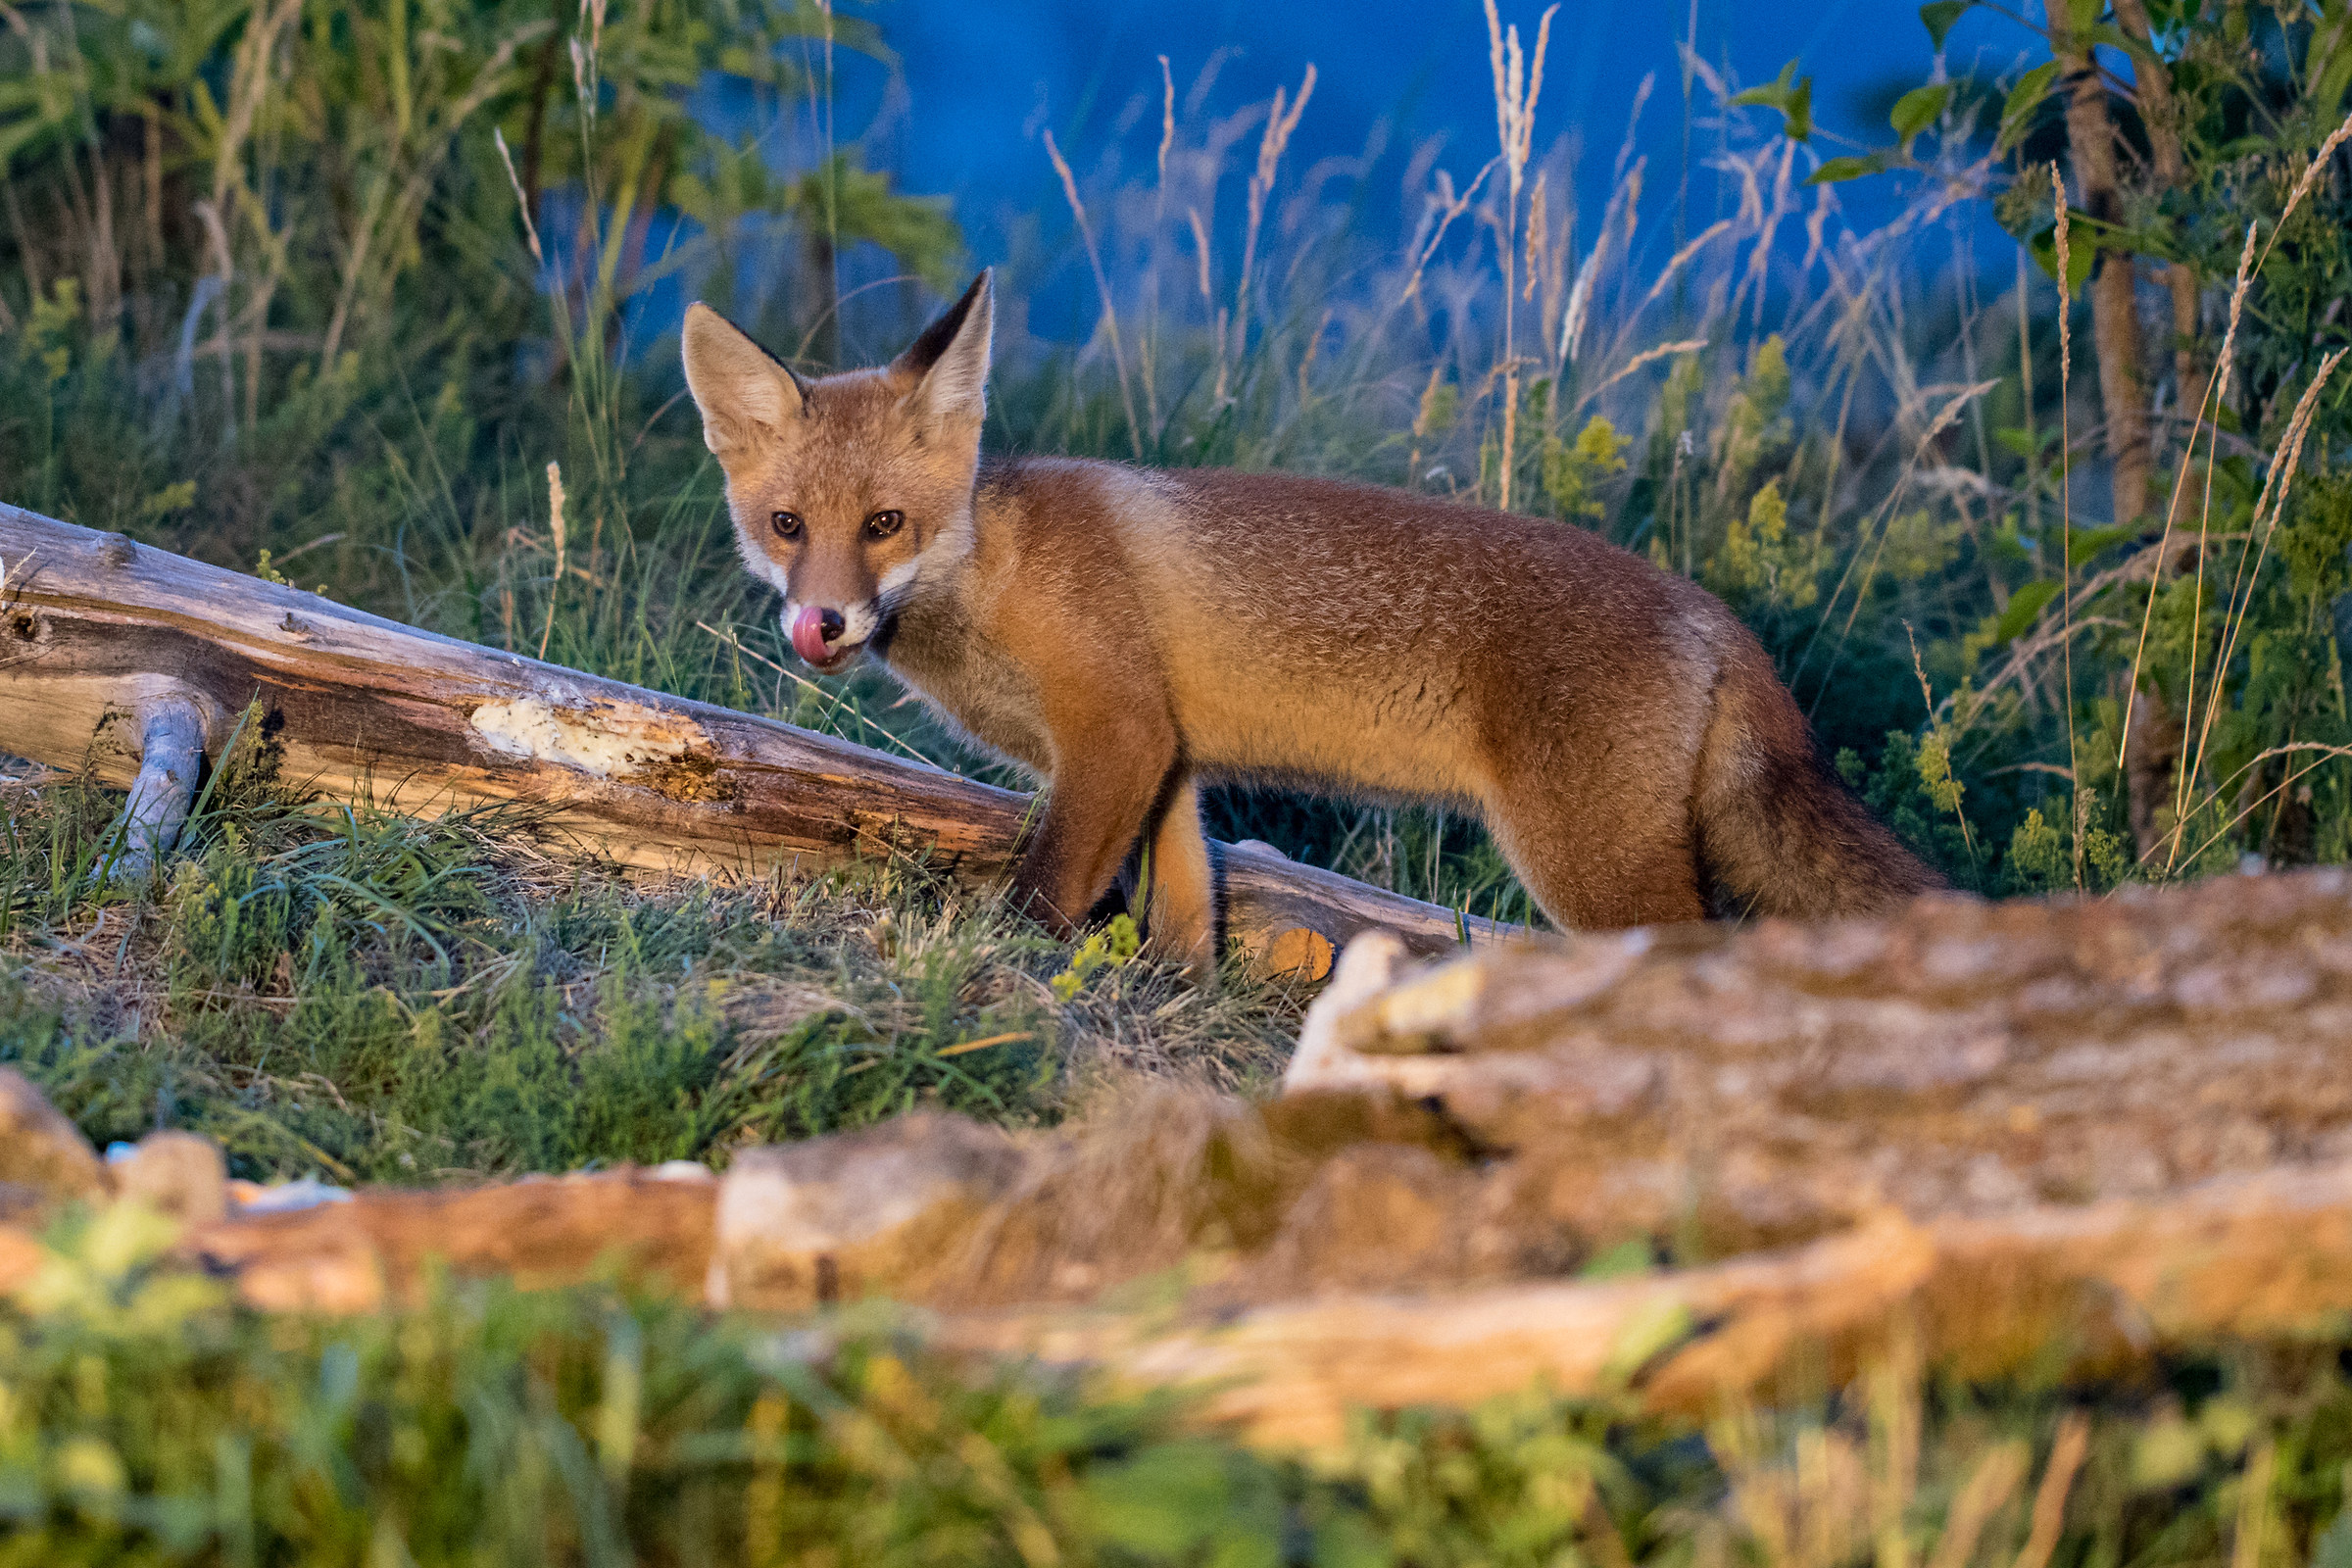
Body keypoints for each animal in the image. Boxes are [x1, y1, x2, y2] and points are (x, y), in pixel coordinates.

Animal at [679, 270, 1941, 972]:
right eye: (788, 525)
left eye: (885, 523)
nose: (822, 623)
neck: (995, 574)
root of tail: (1714, 611)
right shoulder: (1167, 759)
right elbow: (1186, 914)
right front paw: (1175, 1005)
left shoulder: (1115, 736)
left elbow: (1042, 892)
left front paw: (1006, 970)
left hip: (1593, 866)